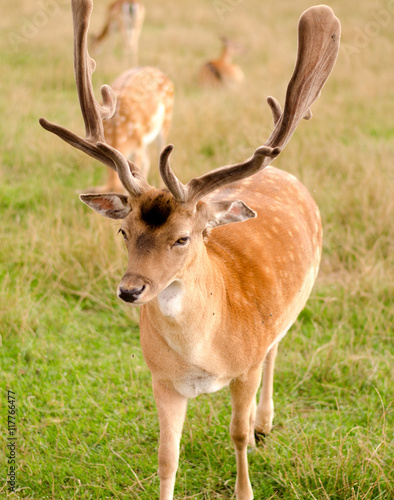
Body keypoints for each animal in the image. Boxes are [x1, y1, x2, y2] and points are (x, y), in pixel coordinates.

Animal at [40, 1, 342, 498]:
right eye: (124, 231)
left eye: (183, 237)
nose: (130, 290)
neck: (203, 354)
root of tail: (283, 174)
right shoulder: (162, 380)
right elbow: (167, 457)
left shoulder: (245, 366)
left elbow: (235, 434)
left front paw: (245, 482)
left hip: (290, 308)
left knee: (276, 350)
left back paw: (264, 423)